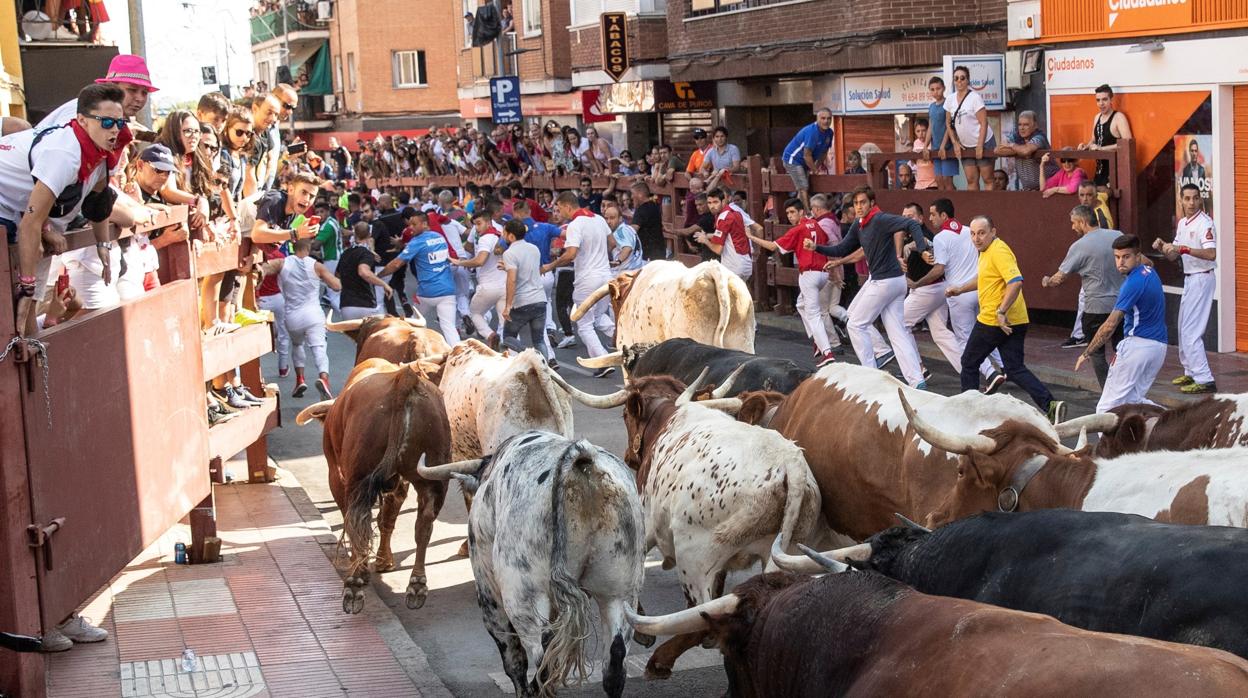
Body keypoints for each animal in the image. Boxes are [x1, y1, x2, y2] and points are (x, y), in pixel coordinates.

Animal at [424, 432, 648, 698]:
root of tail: (582, 461)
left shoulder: (489, 590)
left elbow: (513, 658)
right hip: (619, 592)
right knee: (614, 662)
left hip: (522, 596)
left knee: (542, 660)